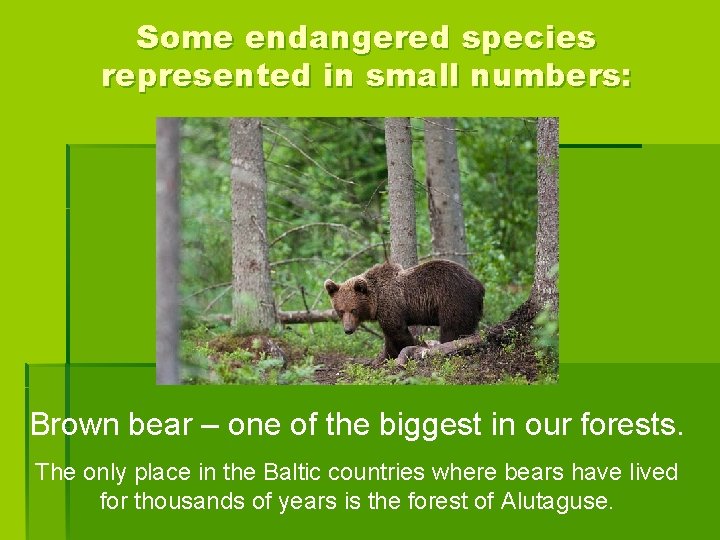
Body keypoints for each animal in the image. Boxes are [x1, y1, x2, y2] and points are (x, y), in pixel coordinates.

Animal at [324, 259, 485, 361]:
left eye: (354, 310)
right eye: (340, 311)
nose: (348, 329)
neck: (376, 300)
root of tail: (479, 285)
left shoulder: (390, 306)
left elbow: (398, 333)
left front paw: (407, 349)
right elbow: (390, 336)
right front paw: (386, 356)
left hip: (453, 299)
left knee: (452, 329)